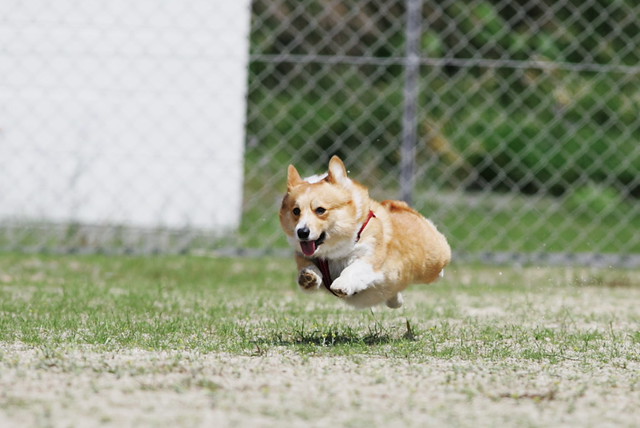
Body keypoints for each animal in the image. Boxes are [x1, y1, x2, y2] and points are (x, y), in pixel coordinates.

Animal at [278, 156, 450, 308]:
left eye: (320, 210)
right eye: (296, 211)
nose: (302, 232)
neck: (333, 253)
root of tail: (403, 206)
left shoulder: (370, 259)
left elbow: (353, 269)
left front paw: (342, 283)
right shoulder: (305, 257)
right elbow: (308, 266)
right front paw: (308, 277)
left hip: (431, 262)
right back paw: (394, 301)